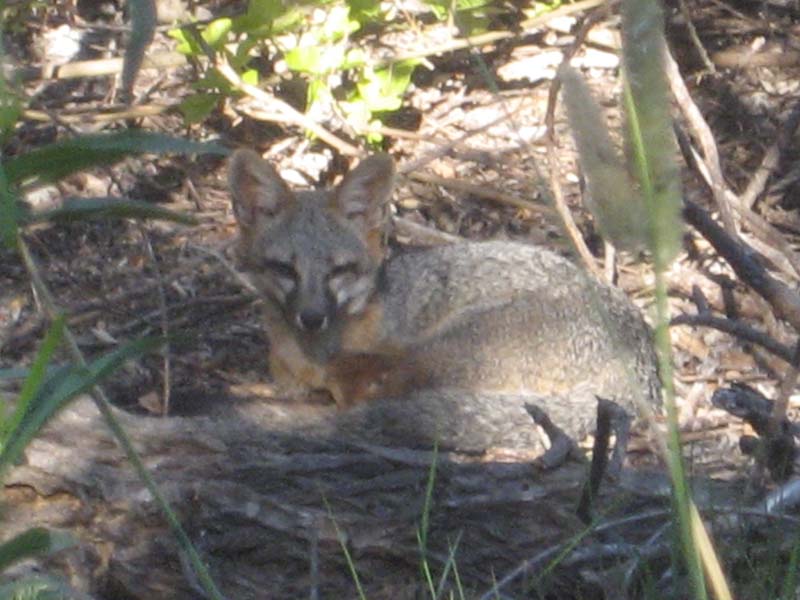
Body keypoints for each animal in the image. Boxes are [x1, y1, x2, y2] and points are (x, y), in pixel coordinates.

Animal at [227, 150, 660, 453]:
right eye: (285, 268)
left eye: (340, 270)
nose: (312, 317)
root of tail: (643, 358)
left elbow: (358, 382)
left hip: (444, 348)